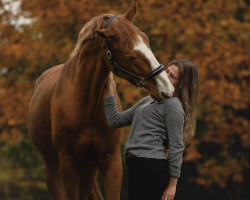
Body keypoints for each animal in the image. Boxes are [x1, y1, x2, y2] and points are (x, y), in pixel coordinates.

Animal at [28, 0, 175, 199]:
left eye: (147, 41)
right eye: (129, 56)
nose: (167, 88)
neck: (84, 102)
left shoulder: (111, 160)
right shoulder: (68, 163)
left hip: (89, 168)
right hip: (52, 165)